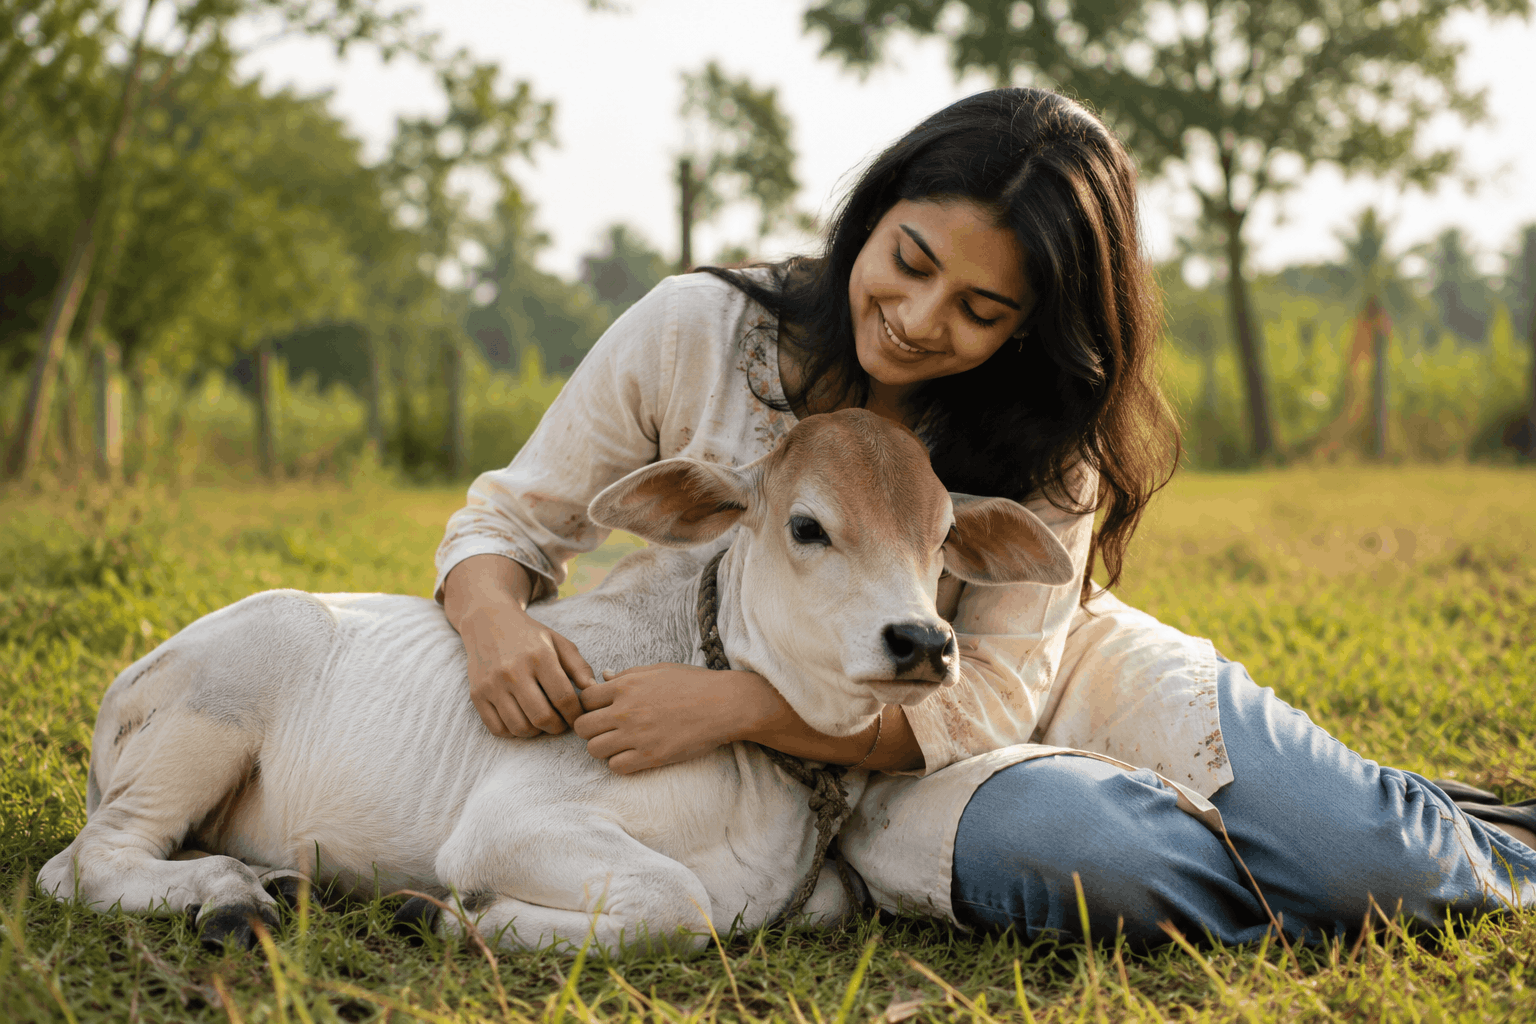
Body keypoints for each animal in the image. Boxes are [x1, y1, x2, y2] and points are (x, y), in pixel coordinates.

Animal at [38, 409, 1075, 956]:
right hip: (213, 712)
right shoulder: (510, 825)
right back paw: (231, 896)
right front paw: (451, 913)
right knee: (84, 863)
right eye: (808, 526)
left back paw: (276, 883)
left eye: (942, 538)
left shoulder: (808, 894)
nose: (924, 642)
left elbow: (799, 902)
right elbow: (681, 906)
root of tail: (134, 672)